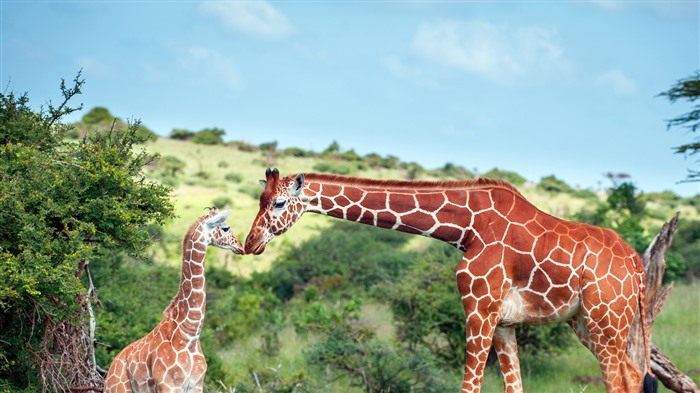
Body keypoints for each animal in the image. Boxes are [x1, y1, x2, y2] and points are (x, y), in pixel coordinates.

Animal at [104, 207, 243, 390]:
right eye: (226, 228)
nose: (240, 247)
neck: (189, 335)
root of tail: (109, 371)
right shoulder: (167, 385)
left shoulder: (196, 385)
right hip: (118, 389)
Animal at [245, 169, 656, 392]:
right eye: (260, 200)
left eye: (279, 203)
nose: (250, 243)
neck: (467, 227)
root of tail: (637, 266)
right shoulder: (504, 322)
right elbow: (514, 386)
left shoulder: (479, 310)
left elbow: (468, 386)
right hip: (587, 322)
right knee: (636, 376)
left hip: (606, 320)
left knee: (619, 382)